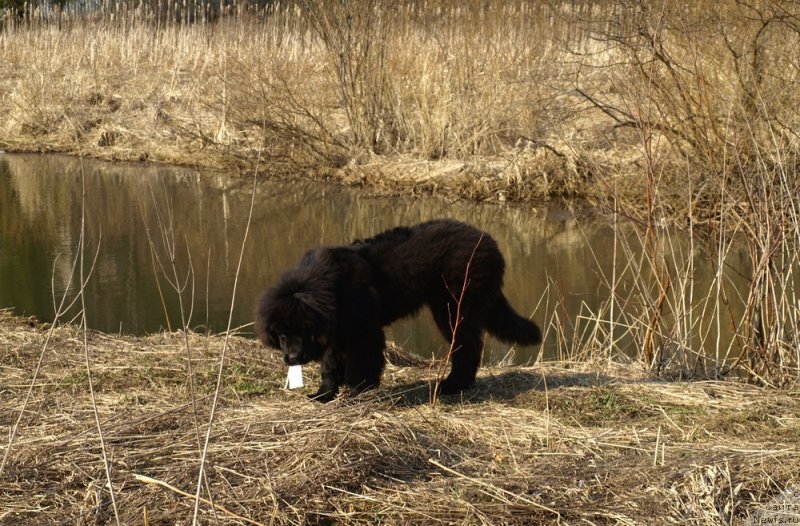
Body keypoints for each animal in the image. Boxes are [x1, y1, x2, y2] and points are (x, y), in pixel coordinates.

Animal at [256, 221, 544, 402]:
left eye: (301, 330)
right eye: (281, 335)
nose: (291, 358)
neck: (332, 287)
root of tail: (489, 241)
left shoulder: (364, 331)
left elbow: (362, 363)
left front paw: (357, 391)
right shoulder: (335, 330)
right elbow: (330, 365)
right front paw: (324, 394)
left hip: (454, 309)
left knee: (468, 347)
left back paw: (452, 385)